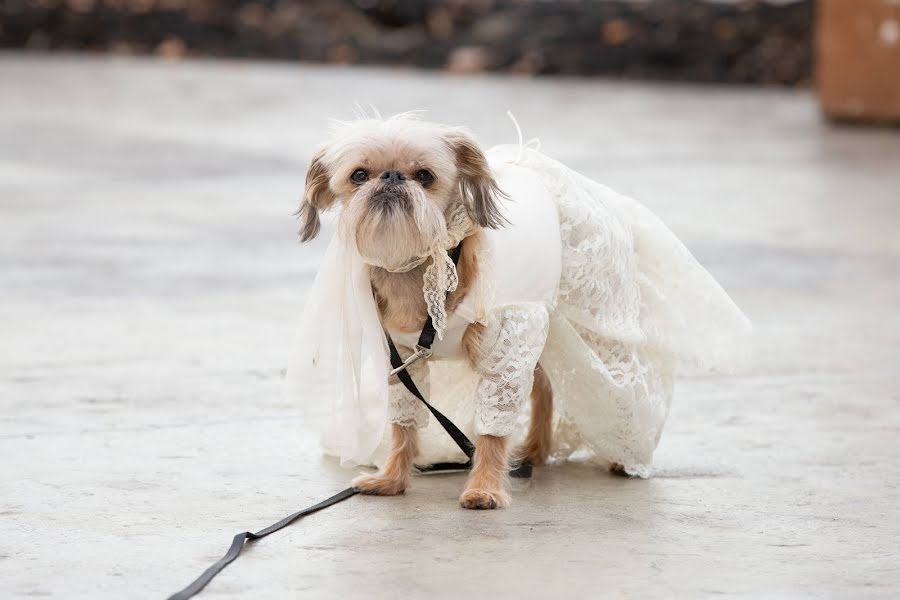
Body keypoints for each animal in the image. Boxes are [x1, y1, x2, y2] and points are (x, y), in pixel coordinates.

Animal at [296, 113, 752, 510]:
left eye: (425, 176)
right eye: (359, 175)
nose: (391, 177)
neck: (427, 264)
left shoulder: (505, 353)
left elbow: (492, 430)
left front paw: (484, 487)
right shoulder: (405, 363)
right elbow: (404, 426)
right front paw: (392, 478)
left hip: (581, 332)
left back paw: (619, 454)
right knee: (545, 389)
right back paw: (535, 449)